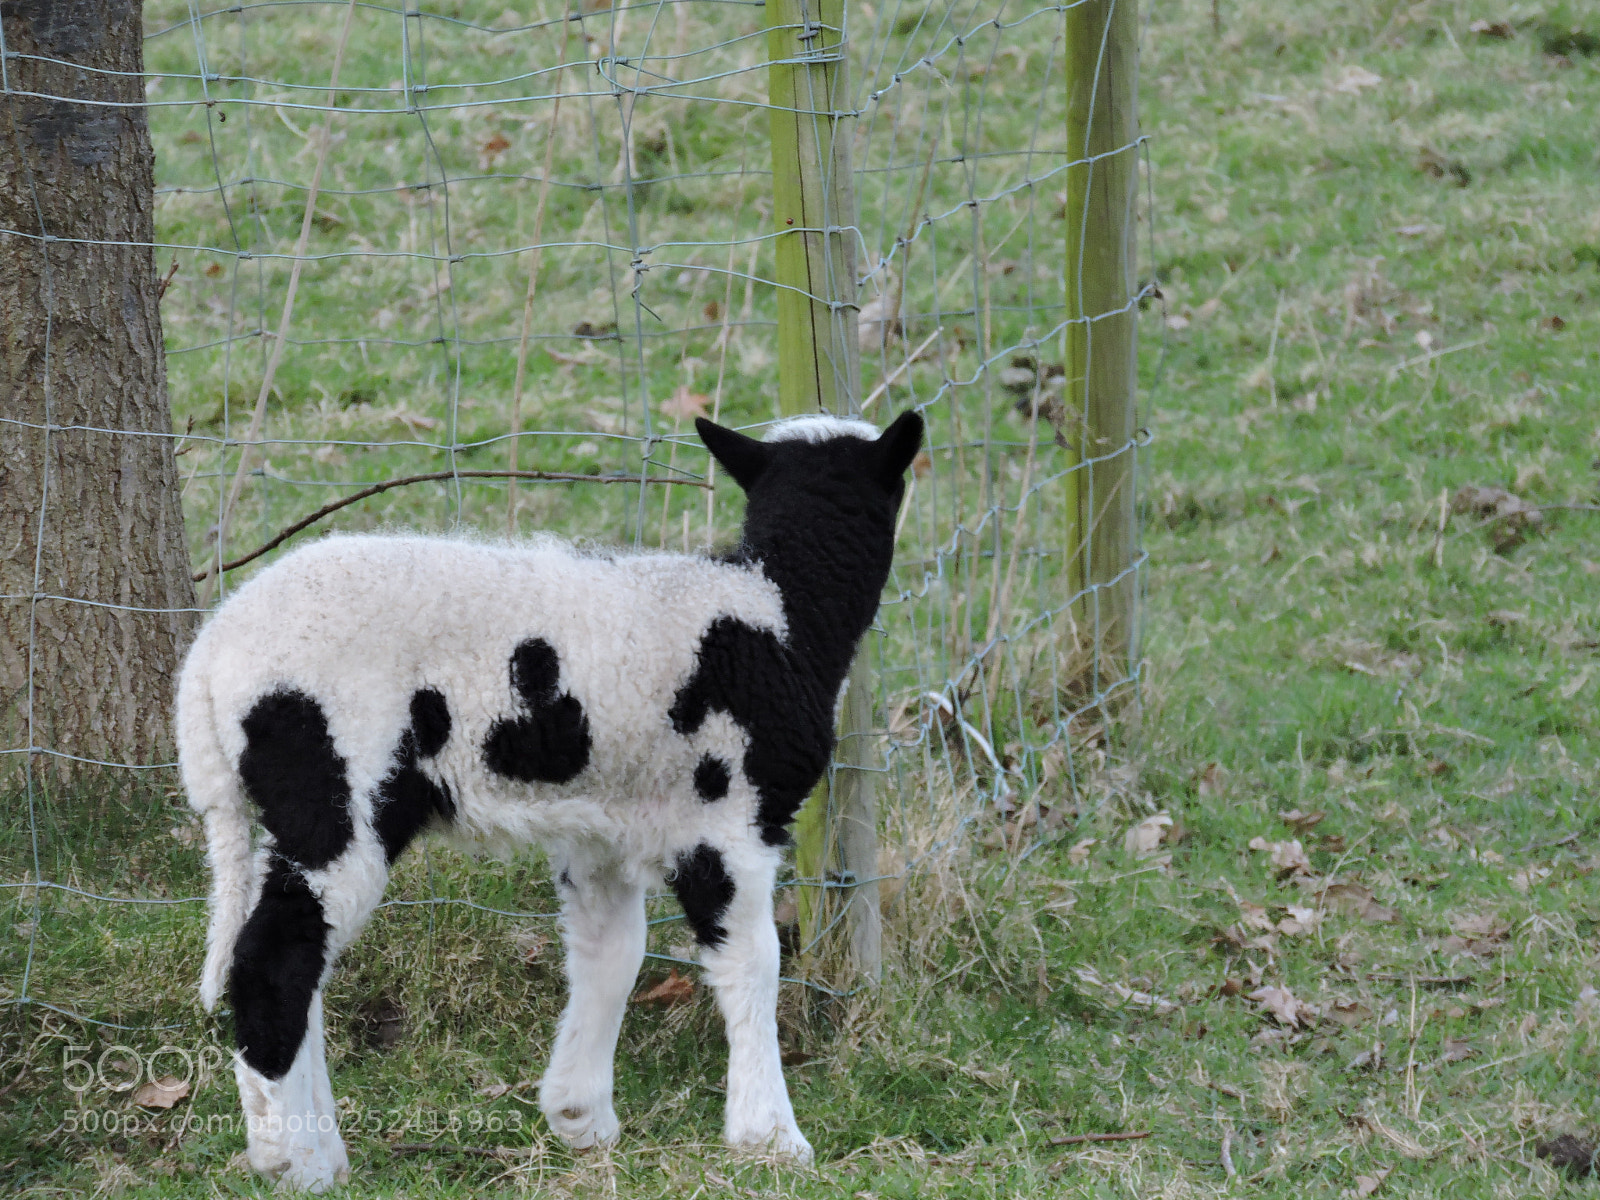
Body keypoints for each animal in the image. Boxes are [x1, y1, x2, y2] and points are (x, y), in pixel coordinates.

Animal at [176, 409, 924, 1191]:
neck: (782, 607)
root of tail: (208, 664)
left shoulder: (607, 830)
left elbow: (611, 953)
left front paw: (579, 1117)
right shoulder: (730, 822)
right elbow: (752, 961)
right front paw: (770, 1137)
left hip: (296, 804)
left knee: (291, 952)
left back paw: (314, 1145)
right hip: (335, 787)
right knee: (275, 959)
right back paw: (295, 1161)